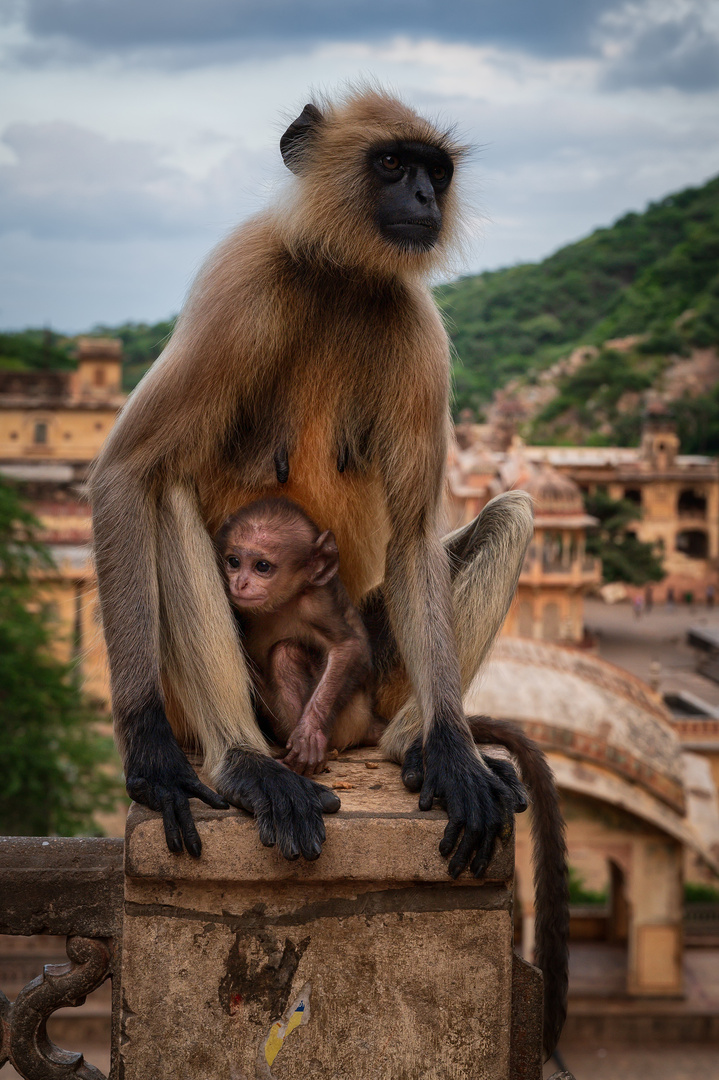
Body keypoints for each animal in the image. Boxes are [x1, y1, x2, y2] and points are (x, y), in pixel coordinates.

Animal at [212, 498, 384, 777]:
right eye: (234, 561)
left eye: (262, 566)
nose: (240, 583)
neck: (280, 604)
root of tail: (367, 722)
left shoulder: (316, 603)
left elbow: (347, 647)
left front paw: (309, 733)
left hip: (349, 719)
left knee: (286, 652)